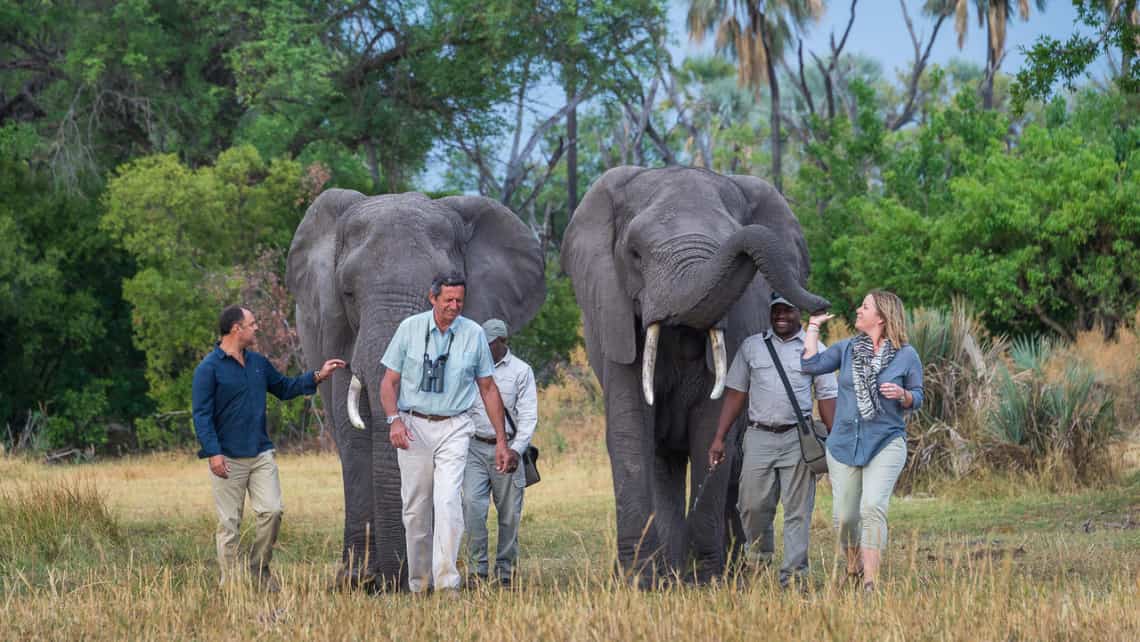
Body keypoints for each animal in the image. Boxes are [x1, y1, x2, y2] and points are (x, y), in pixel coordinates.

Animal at [289, 190, 547, 592]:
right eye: (348, 292)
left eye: (447, 291)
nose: (394, 582)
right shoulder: (333, 327)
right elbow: (352, 430)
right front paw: (359, 582)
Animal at [560, 165, 829, 588]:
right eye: (634, 254)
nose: (822, 305)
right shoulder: (612, 314)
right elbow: (630, 429)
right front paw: (639, 582)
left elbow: (712, 426)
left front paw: (707, 581)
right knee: (662, 463)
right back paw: (670, 572)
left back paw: (724, 571)